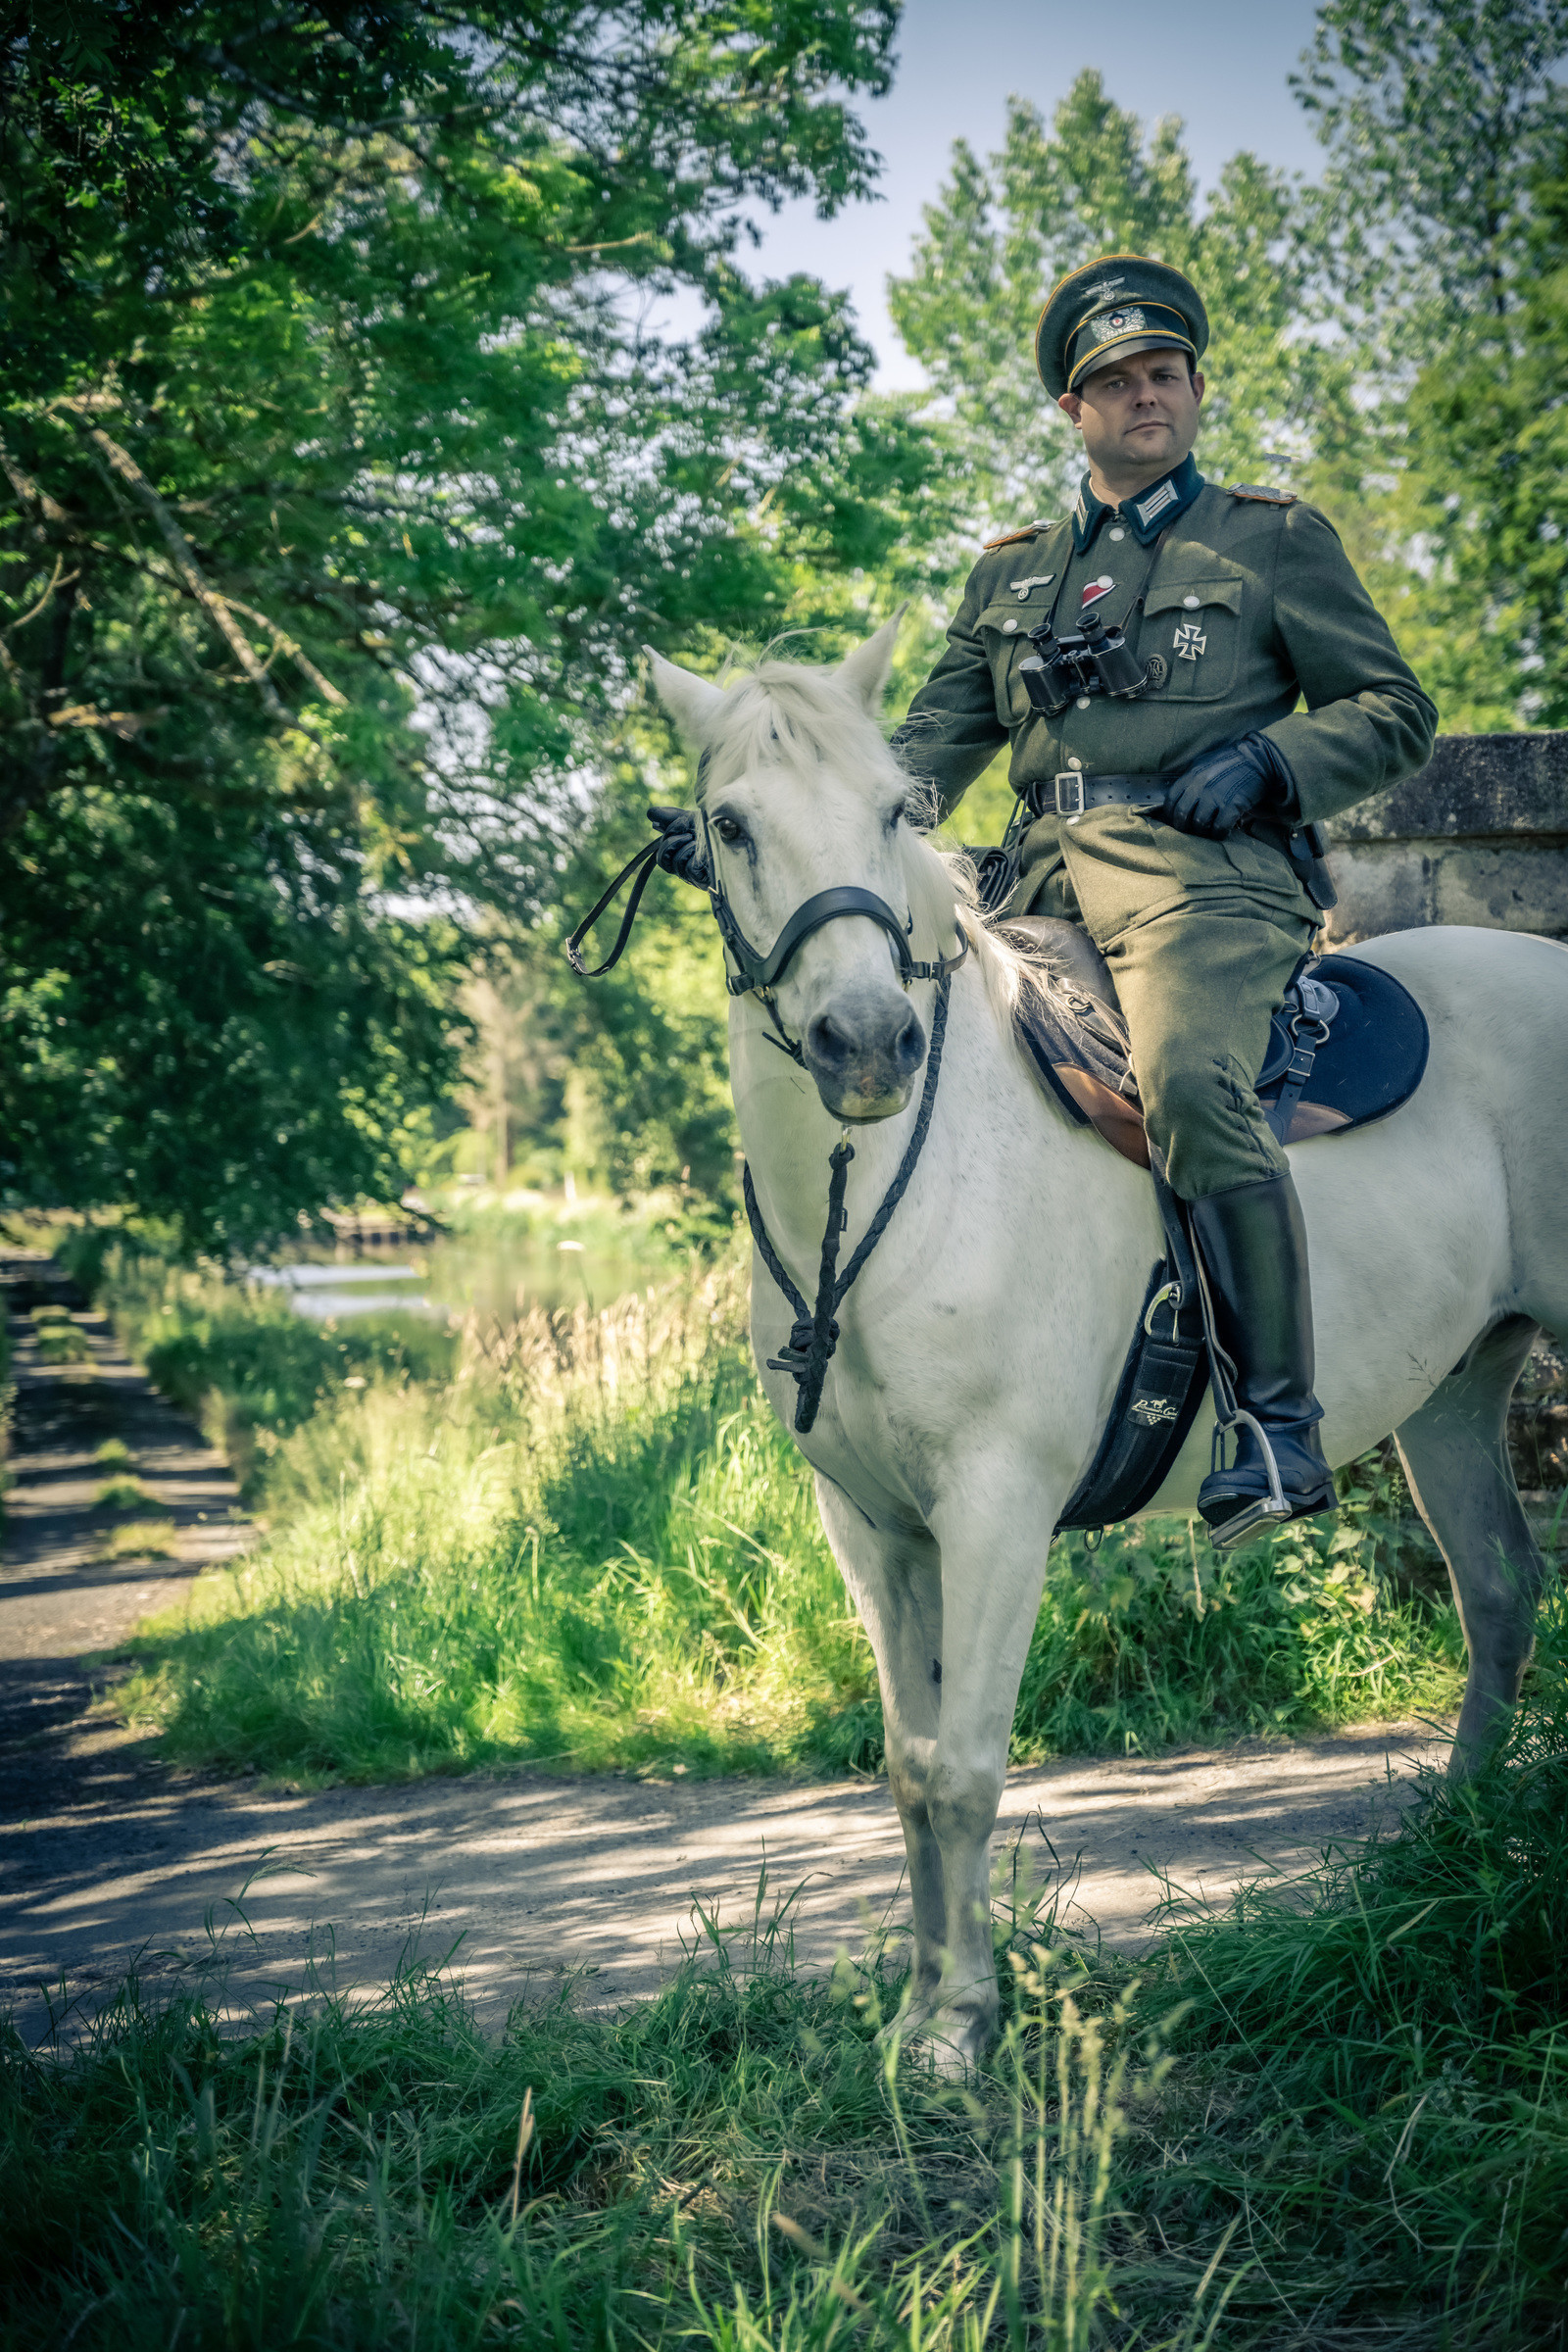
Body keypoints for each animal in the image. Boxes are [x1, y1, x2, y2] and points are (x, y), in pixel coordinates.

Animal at [645, 615, 1568, 2075]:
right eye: (730, 824)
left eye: (894, 808)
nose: (867, 1043)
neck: (897, 1178)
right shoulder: (872, 1524)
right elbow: (909, 1770)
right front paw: (921, 2008)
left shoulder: (996, 1506)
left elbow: (965, 1767)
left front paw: (962, 2025)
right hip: (1456, 1394)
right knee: (1496, 1593)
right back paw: (1454, 1848)